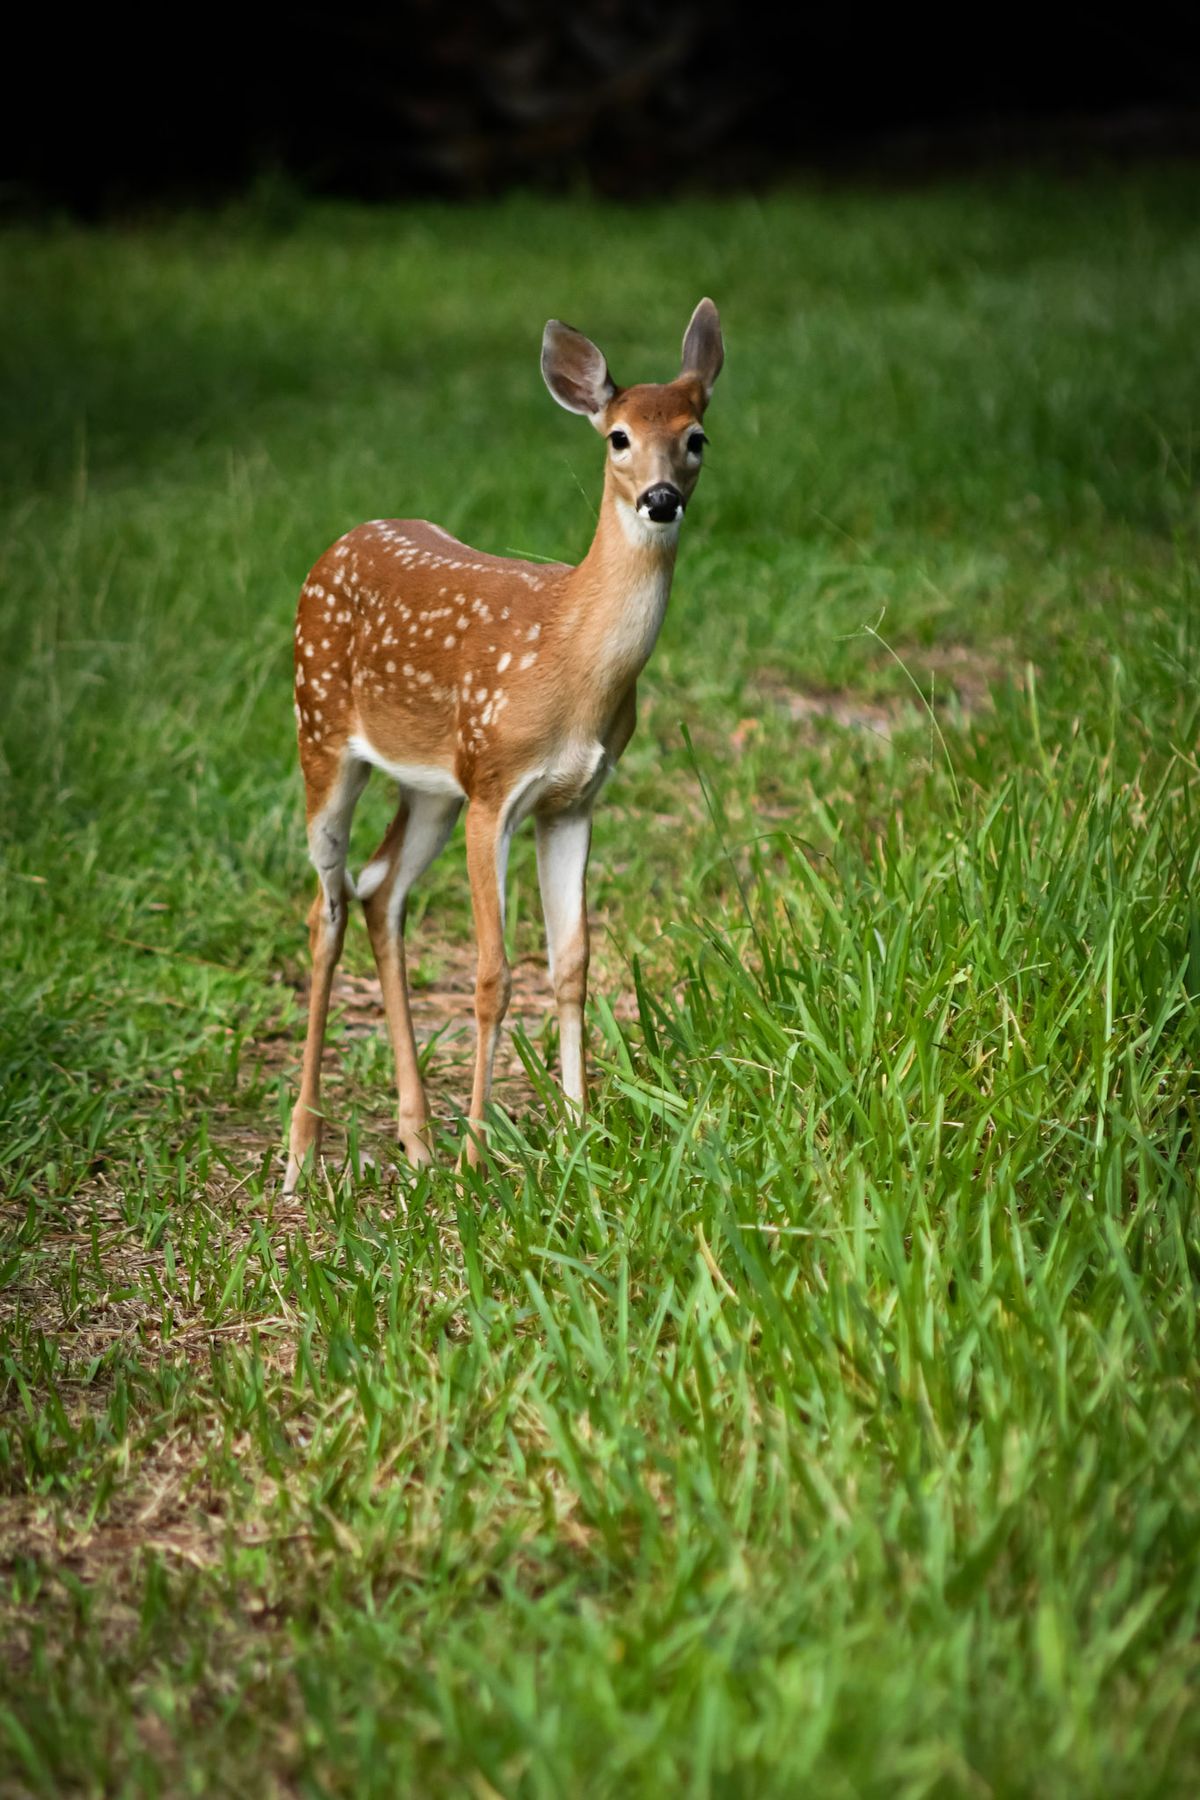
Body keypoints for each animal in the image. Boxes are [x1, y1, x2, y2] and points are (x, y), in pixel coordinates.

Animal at [286, 297, 726, 1195]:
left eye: (696, 436)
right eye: (617, 438)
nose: (661, 497)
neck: (570, 658)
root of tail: (337, 545)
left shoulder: (574, 800)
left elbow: (573, 962)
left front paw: (580, 1127)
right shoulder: (495, 789)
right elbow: (494, 975)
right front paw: (477, 1157)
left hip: (430, 787)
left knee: (380, 890)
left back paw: (415, 1138)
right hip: (321, 732)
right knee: (328, 904)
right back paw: (304, 1150)